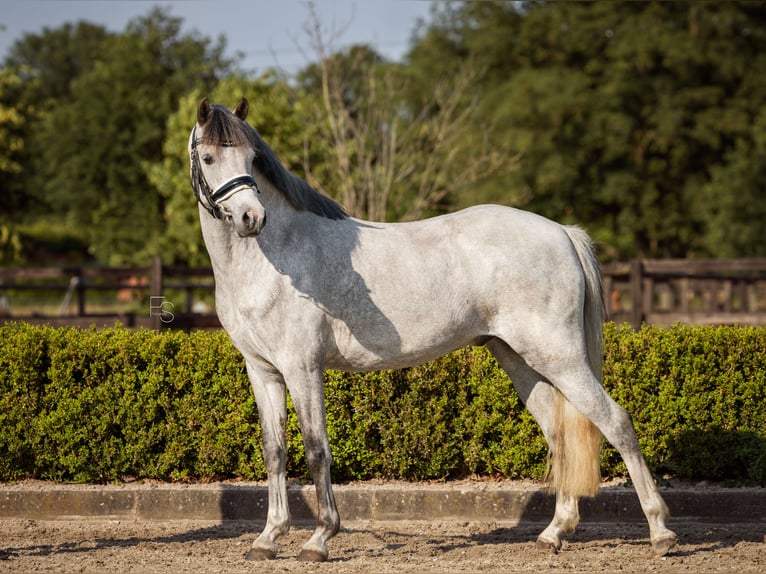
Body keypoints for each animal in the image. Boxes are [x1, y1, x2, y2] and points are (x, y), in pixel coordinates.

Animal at [188, 97, 678, 562]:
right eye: (208, 157)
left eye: (251, 158)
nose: (251, 218)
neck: (274, 258)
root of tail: (561, 232)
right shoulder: (263, 370)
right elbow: (274, 452)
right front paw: (268, 538)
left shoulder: (302, 367)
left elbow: (315, 449)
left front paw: (320, 538)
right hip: (520, 359)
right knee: (559, 436)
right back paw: (555, 533)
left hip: (561, 357)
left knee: (616, 422)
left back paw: (660, 532)